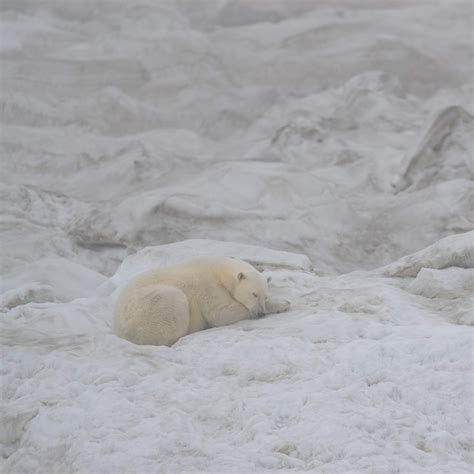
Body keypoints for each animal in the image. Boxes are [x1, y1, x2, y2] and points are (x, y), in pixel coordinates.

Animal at [113, 258, 290, 346]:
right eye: (254, 294)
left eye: (264, 296)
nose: (260, 313)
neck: (218, 268)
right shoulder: (208, 287)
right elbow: (221, 312)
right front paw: (283, 303)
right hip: (149, 309)